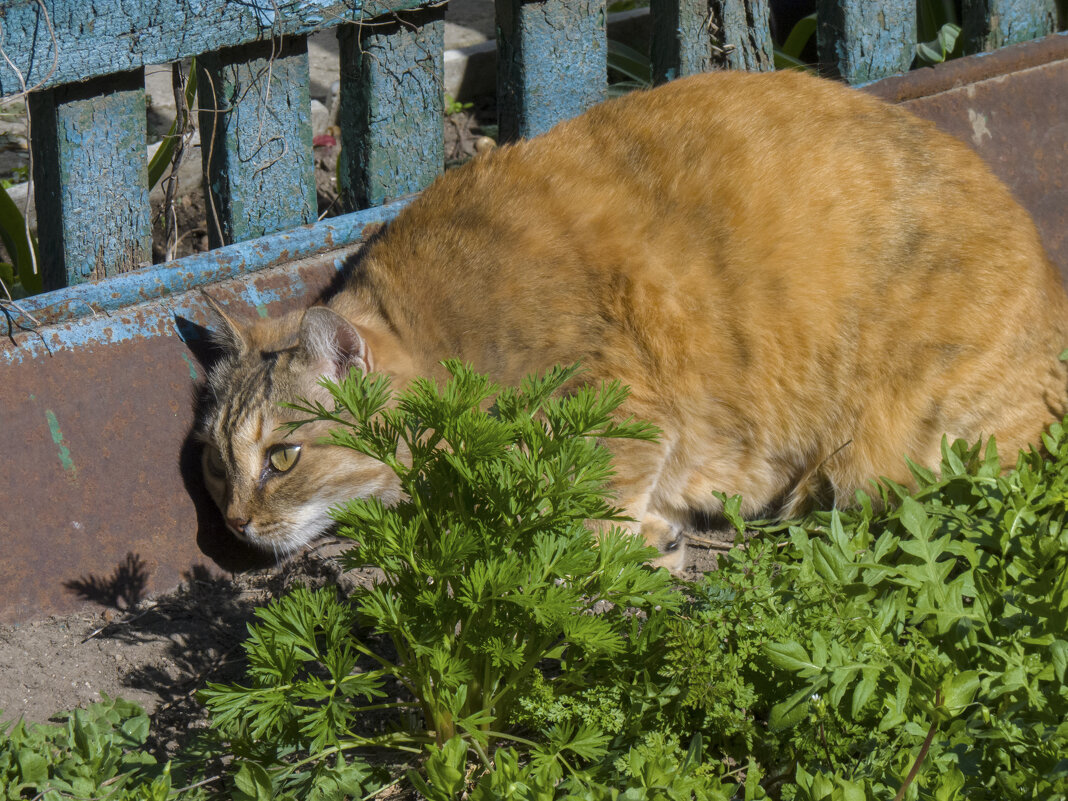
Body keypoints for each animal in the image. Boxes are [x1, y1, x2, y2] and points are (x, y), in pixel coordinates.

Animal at [196, 68, 1068, 572]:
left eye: (282, 458)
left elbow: (578, 502)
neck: (434, 335)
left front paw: (642, 530)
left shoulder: (620, 404)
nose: (234, 521)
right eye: (214, 463)